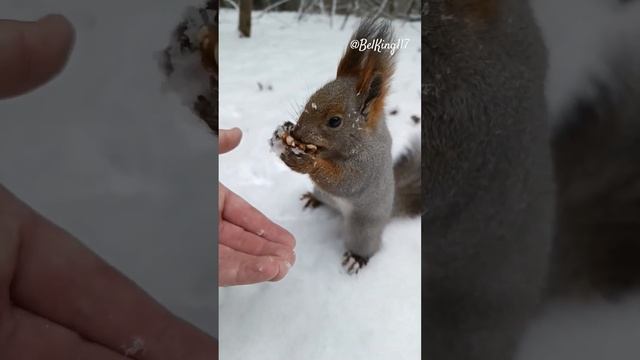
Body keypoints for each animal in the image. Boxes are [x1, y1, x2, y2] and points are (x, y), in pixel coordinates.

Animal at [276, 18, 420, 274]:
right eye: (309, 100)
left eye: (335, 121)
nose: (298, 133)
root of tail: (390, 209)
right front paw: (287, 130)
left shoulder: (367, 165)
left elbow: (345, 182)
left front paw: (306, 162)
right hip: (322, 193)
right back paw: (313, 199)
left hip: (363, 229)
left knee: (366, 243)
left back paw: (357, 258)